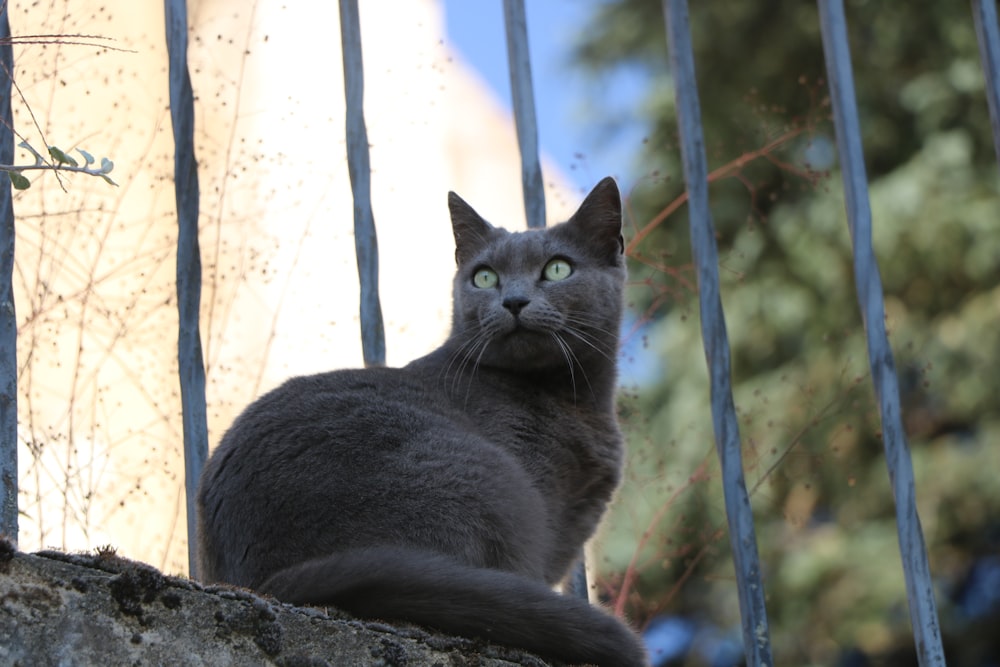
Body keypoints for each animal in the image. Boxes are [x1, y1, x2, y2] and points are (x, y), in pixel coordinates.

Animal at [195, 177, 648, 667]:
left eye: (558, 269)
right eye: (485, 276)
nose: (513, 300)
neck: (577, 401)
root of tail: (262, 581)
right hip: (487, 480)